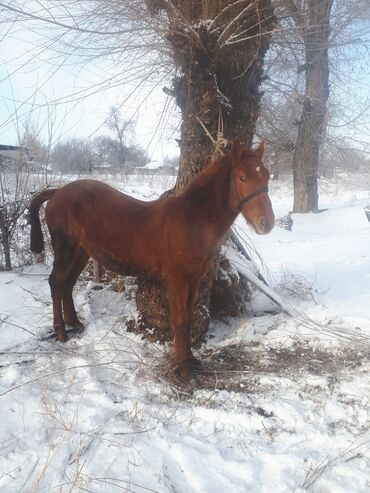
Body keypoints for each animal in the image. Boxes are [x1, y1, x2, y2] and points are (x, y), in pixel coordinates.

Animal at [28, 140, 274, 378]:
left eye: (266, 175)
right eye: (242, 177)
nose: (267, 223)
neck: (192, 221)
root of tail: (58, 192)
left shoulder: (193, 280)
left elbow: (189, 317)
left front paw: (191, 361)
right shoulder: (177, 280)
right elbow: (179, 320)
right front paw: (182, 369)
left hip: (81, 252)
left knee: (68, 284)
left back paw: (75, 323)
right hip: (66, 250)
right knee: (57, 282)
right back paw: (61, 333)